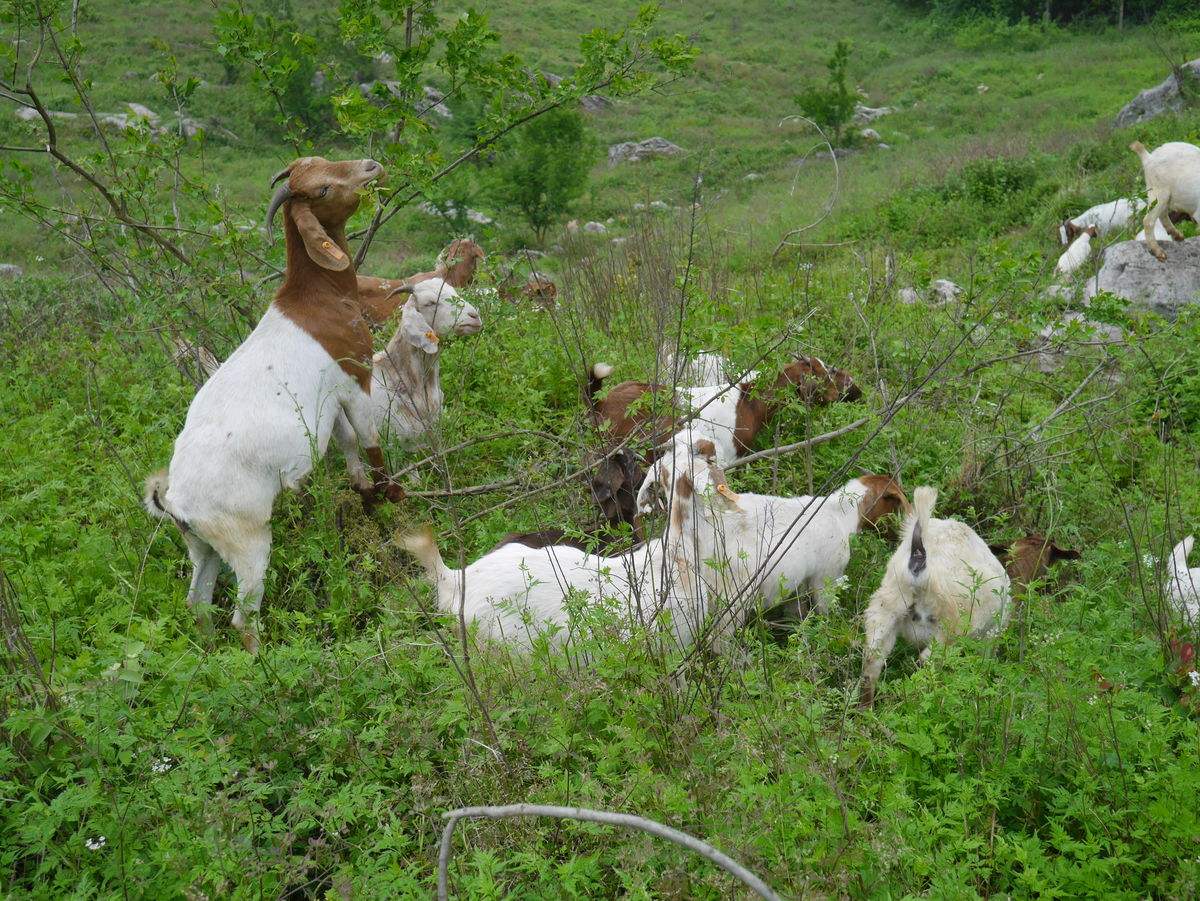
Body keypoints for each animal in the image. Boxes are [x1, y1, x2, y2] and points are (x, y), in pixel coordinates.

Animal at [144, 158, 398, 652]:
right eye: (322, 189)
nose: (371, 166)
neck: (317, 301)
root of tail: (176, 502)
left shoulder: (329, 402)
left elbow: (346, 443)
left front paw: (363, 493)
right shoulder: (355, 377)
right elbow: (370, 439)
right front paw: (390, 497)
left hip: (202, 546)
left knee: (198, 602)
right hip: (246, 539)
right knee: (243, 616)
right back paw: (265, 660)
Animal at [333, 278, 482, 496]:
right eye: (430, 303)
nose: (474, 316)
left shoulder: (432, 426)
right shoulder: (396, 436)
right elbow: (409, 465)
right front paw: (415, 485)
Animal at [859, 487, 1008, 705]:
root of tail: (920, 555)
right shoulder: (990, 636)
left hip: (886, 606)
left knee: (872, 658)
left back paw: (866, 707)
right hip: (951, 626)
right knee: (927, 661)